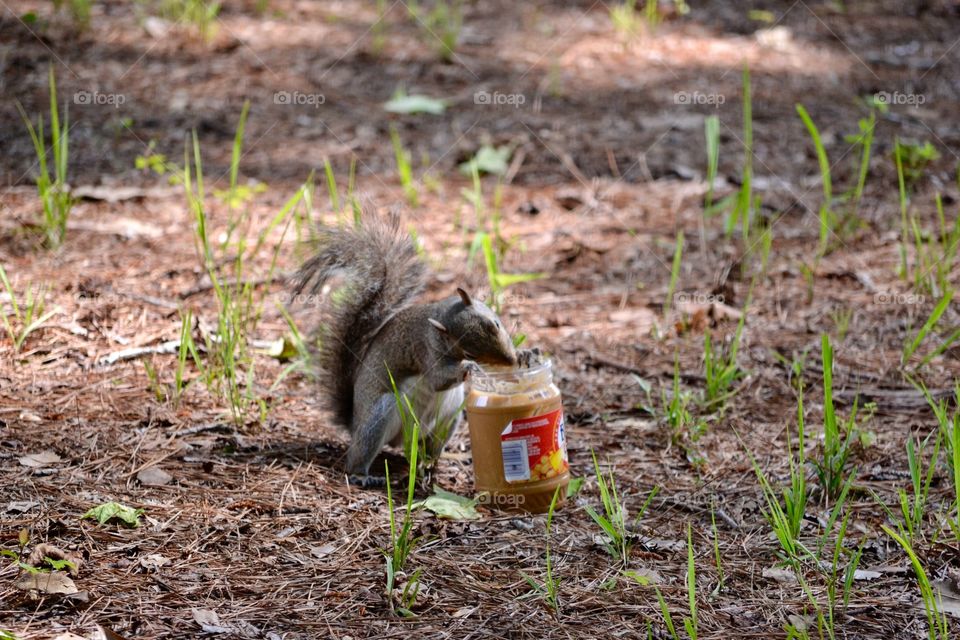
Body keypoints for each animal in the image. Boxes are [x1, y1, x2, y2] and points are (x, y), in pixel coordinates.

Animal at [294, 214, 534, 487]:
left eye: (495, 324)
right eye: (469, 353)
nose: (508, 361)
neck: (439, 317)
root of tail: (354, 422)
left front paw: (524, 354)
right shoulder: (426, 350)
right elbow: (438, 378)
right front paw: (469, 368)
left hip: (450, 417)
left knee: (429, 448)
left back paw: (435, 462)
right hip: (379, 418)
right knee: (360, 452)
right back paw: (362, 474)